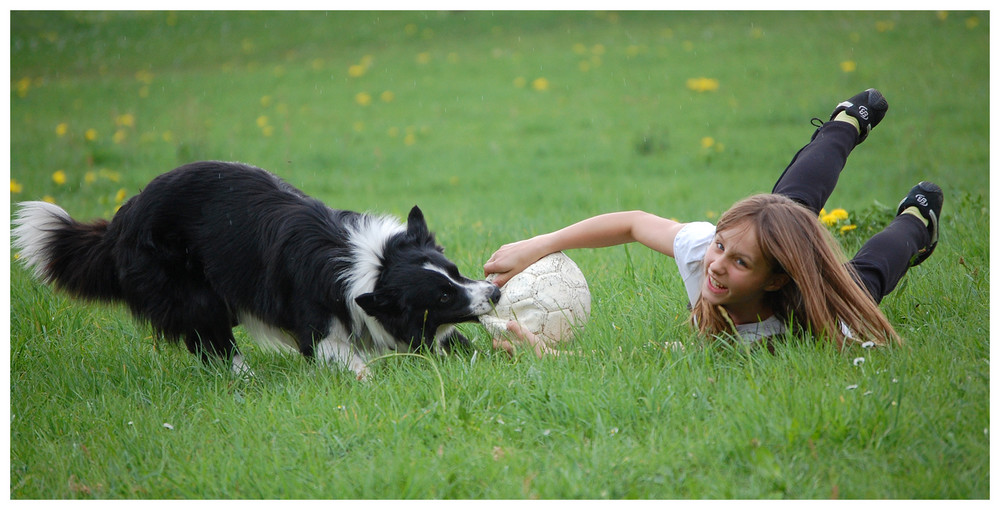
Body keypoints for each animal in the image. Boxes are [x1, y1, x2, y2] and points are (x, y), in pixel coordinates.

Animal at [11, 162, 500, 378]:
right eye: (441, 295)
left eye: (455, 270)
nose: (494, 293)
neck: (371, 266)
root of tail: (121, 221)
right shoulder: (315, 324)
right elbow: (343, 356)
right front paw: (369, 380)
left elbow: (459, 344)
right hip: (189, 290)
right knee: (208, 339)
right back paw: (243, 378)